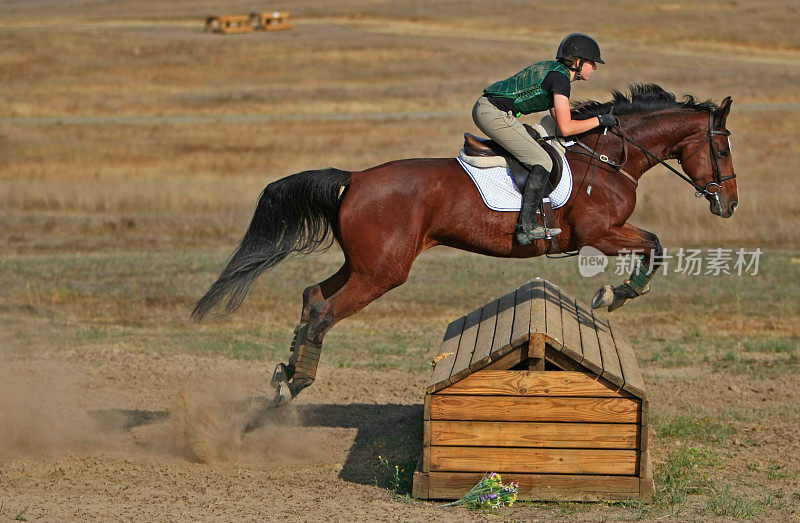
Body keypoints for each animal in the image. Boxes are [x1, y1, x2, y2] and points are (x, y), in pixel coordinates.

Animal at [192, 86, 736, 404]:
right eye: (723, 147)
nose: (728, 203)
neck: (609, 155)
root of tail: (355, 179)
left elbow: (653, 244)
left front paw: (612, 295)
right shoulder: (598, 234)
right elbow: (655, 244)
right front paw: (614, 295)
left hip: (365, 263)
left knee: (312, 297)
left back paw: (284, 373)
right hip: (383, 271)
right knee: (325, 311)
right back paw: (296, 383)